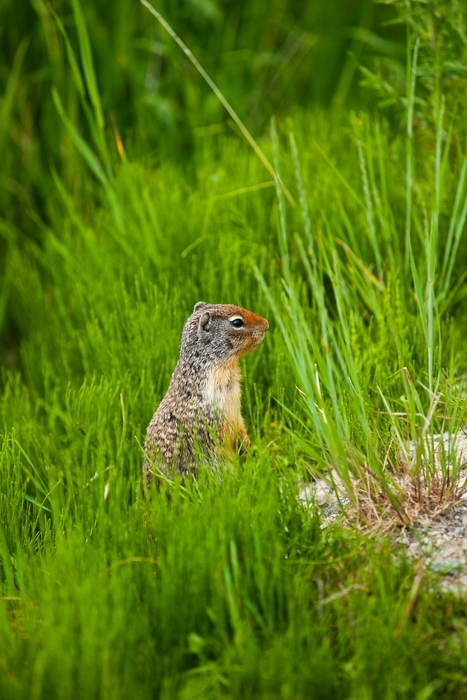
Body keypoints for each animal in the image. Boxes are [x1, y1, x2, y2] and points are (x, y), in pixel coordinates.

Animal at [144, 300, 270, 482]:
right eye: (237, 322)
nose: (267, 325)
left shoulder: (235, 408)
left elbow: (240, 423)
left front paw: (247, 443)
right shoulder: (217, 411)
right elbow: (225, 433)